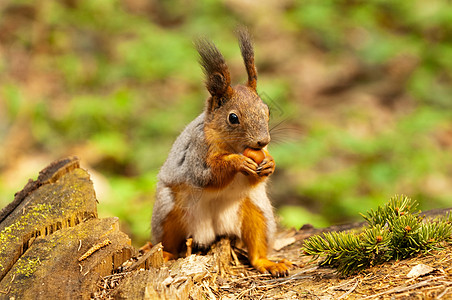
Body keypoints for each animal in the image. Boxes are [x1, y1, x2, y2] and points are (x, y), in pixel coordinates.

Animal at [152, 28, 292, 276]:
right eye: (233, 118)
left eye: (267, 111)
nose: (262, 141)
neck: (235, 147)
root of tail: (213, 230)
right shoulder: (196, 153)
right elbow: (206, 176)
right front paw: (237, 163)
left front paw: (270, 164)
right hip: (168, 212)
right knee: (167, 241)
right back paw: (166, 254)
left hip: (259, 213)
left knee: (257, 246)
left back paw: (269, 263)